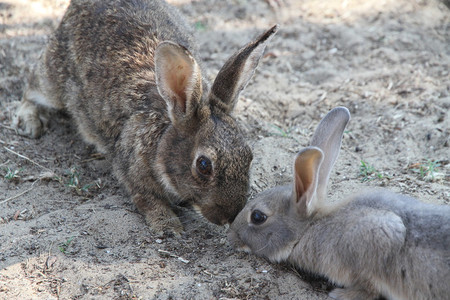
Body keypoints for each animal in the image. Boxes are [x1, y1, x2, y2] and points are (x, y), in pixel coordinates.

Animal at [13, 0, 278, 236]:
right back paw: (30, 122)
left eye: (249, 156)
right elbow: (148, 199)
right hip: (53, 80)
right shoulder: (132, 170)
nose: (230, 215)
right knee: (32, 86)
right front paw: (168, 227)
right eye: (204, 166)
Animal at [230, 108, 448, 300]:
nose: (231, 237)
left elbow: (369, 289)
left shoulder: (379, 237)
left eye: (258, 217)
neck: (309, 228)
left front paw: (339, 294)